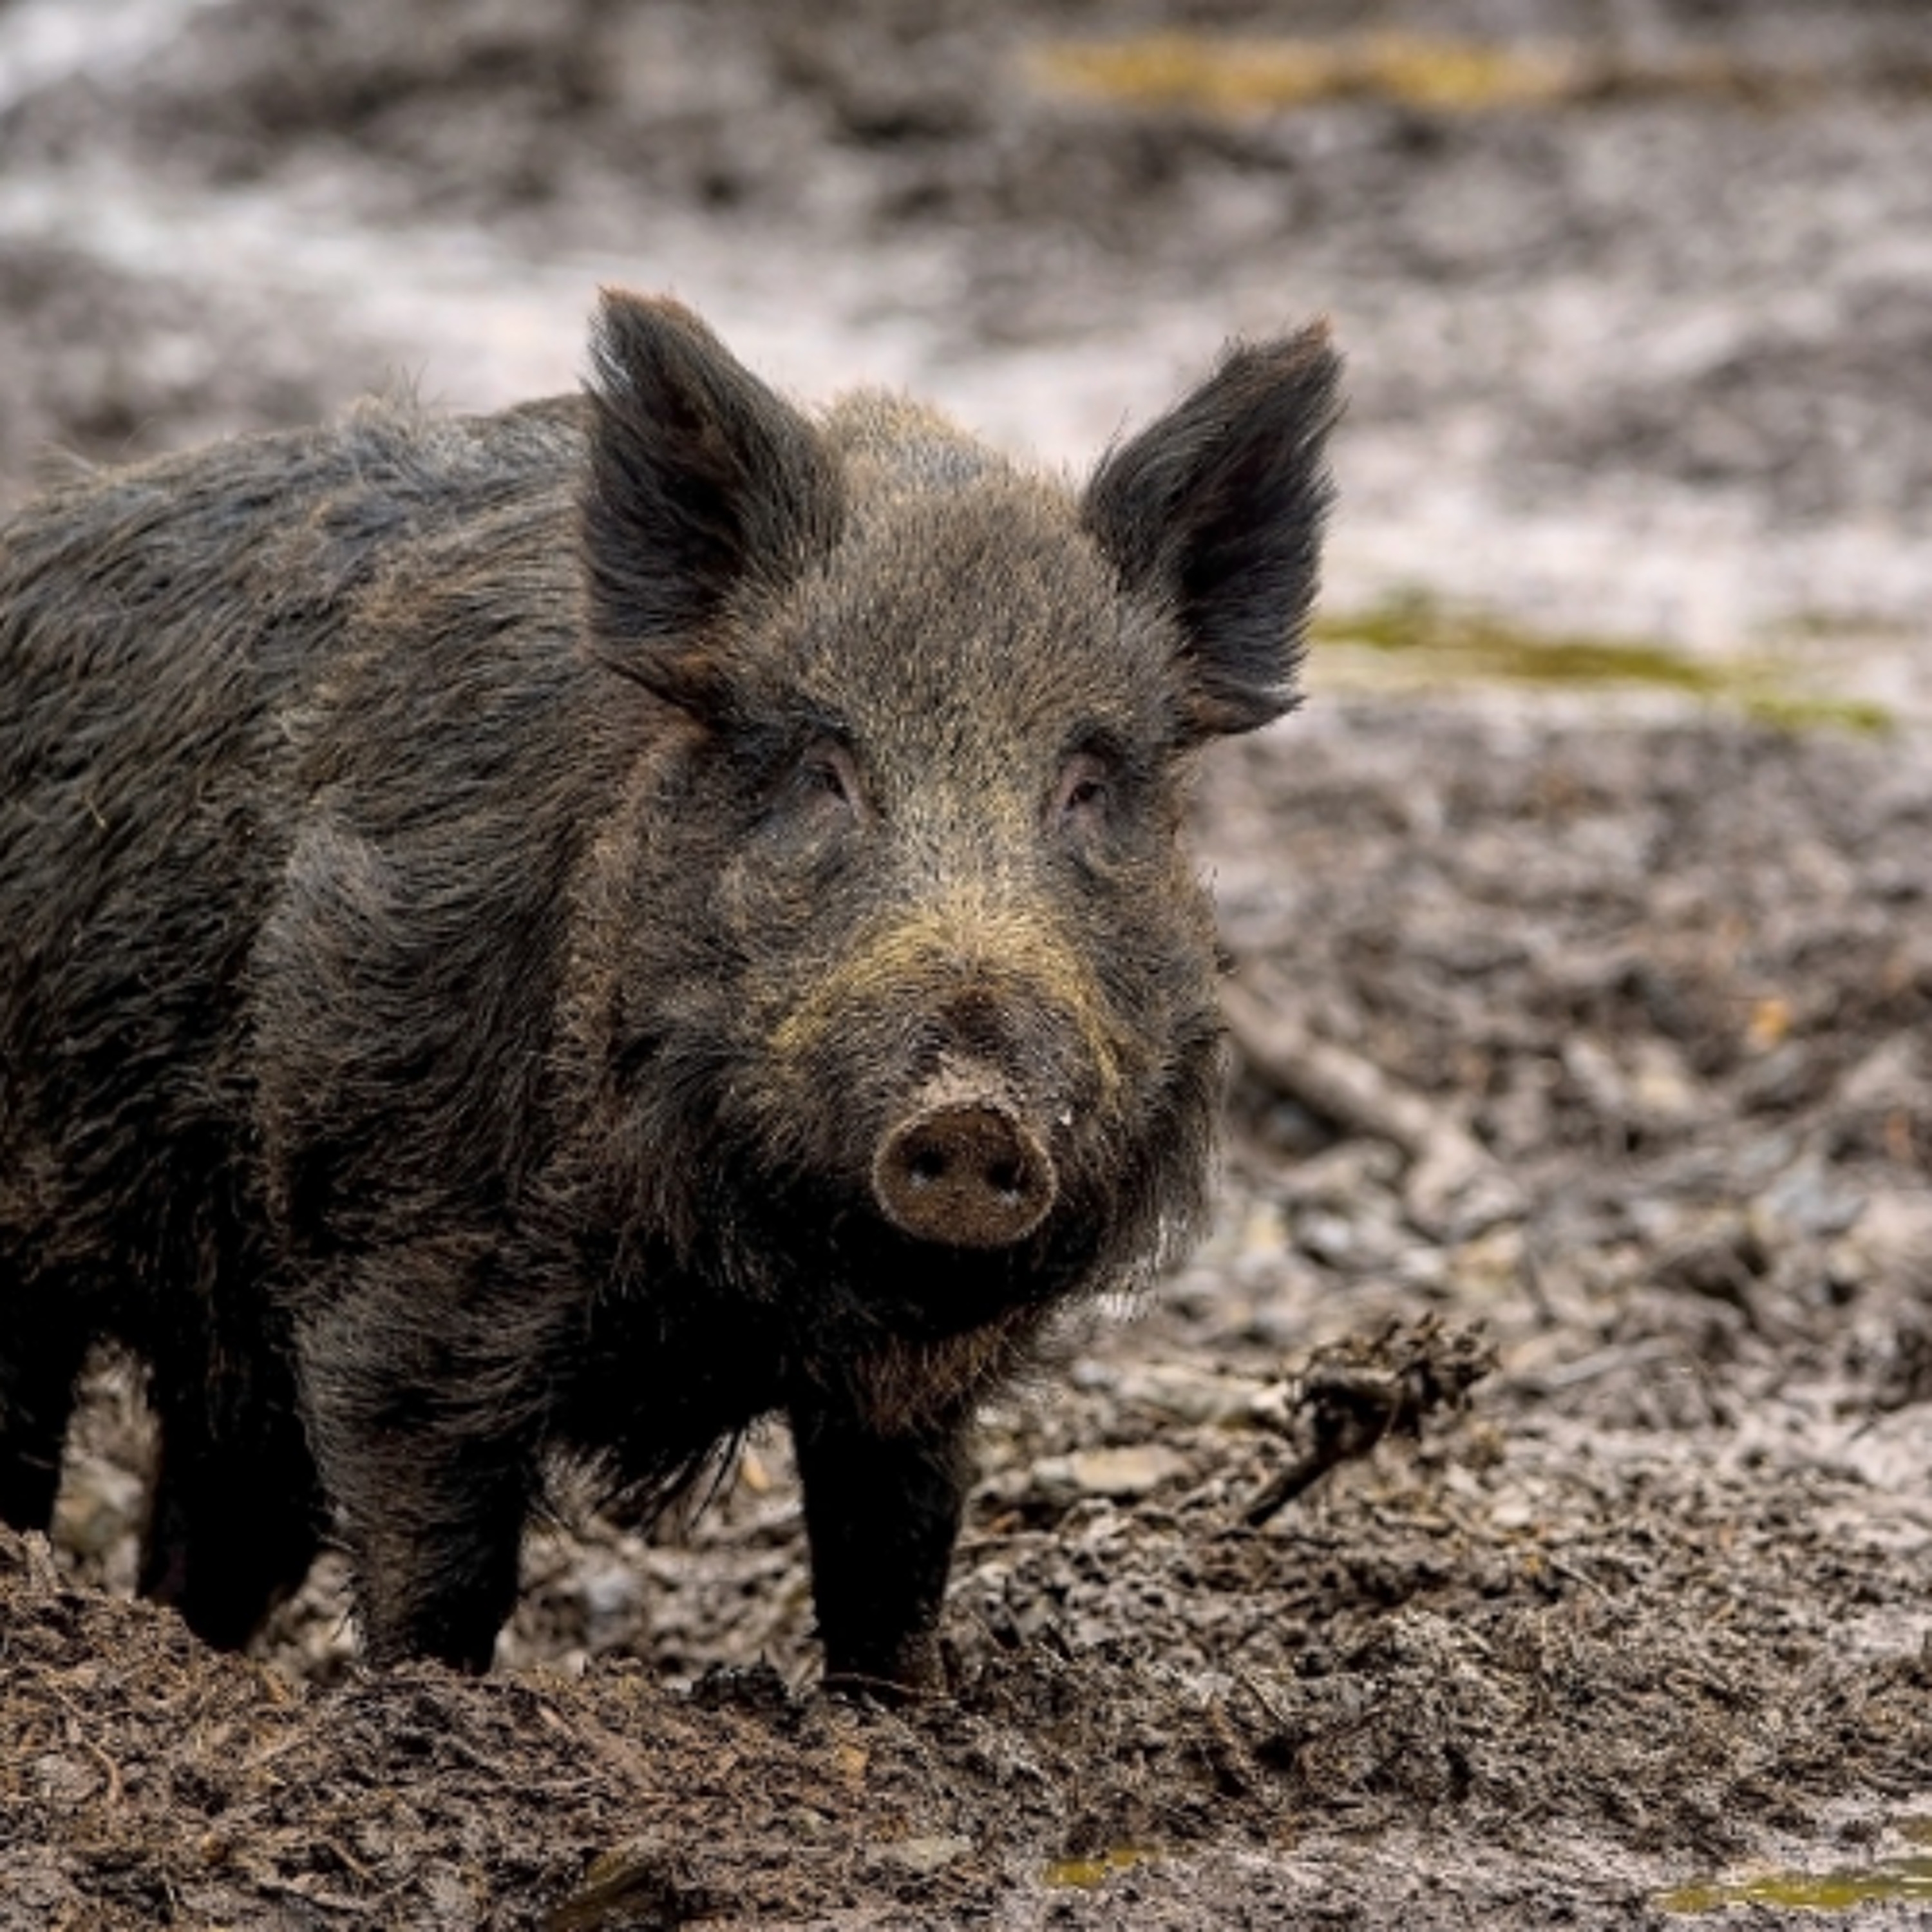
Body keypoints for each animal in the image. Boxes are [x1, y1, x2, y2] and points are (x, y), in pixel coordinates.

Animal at [0, 293, 1339, 1691]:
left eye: (1086, 783)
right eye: (821, 769)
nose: (973, 1112)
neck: (723, 1283)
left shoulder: (909, 1386)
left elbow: (894, 1552)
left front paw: (902, 1710)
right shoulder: (397, 1253)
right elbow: (436, 1551)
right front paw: (427, 1712)